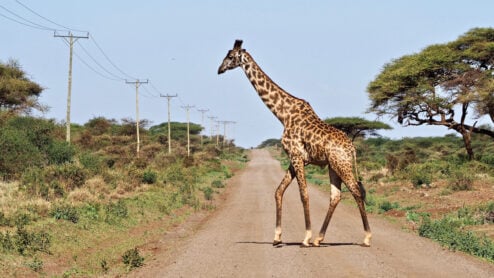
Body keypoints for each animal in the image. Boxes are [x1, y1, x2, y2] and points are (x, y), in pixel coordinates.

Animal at [218, 39, 372, 248]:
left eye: (230, 56)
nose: (219, 69)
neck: (283, 114)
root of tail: (352, 148)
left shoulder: (297, 156)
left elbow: (303, 194)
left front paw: (305, 237)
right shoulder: (295, 158)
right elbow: (278, 191)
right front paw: (277, 237)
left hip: (342, 164)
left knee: (356, 191)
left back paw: (366, 237)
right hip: (333, 166)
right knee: (336, 196)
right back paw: (319, 238)